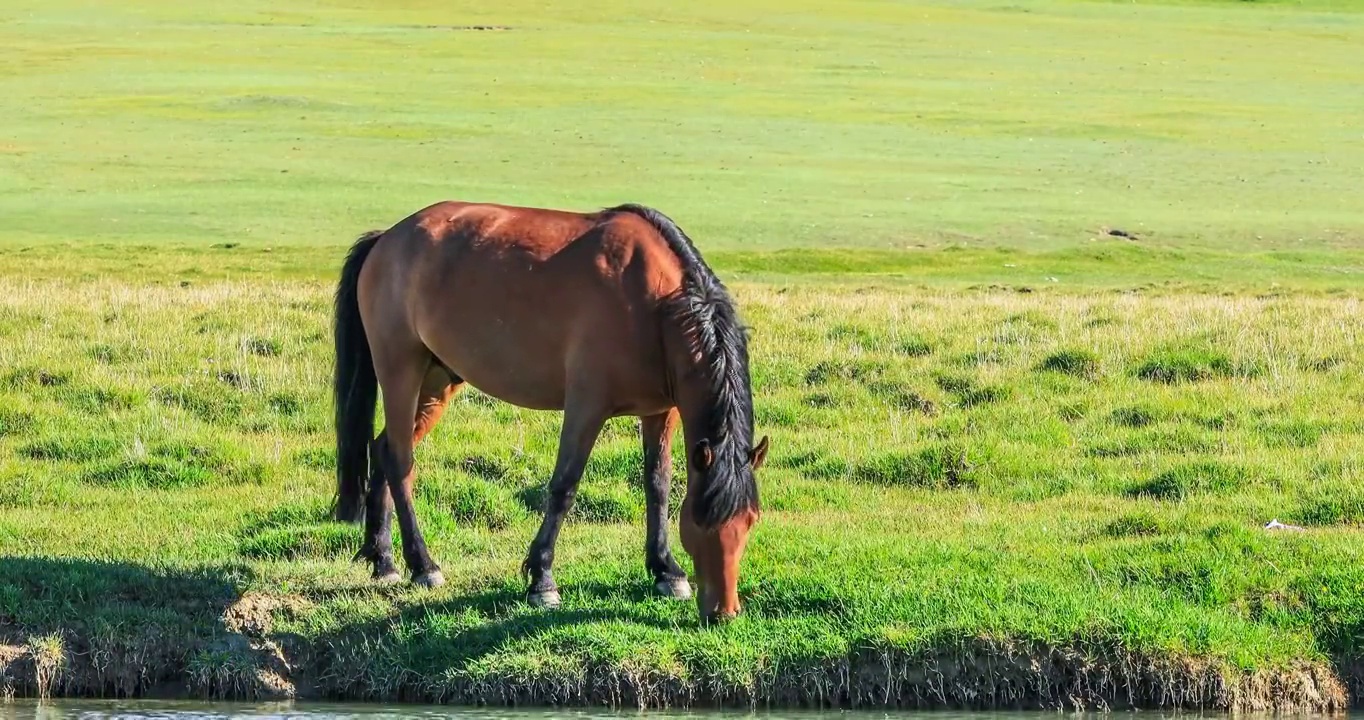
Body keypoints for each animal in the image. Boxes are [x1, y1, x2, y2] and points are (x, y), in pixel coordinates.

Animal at [332, 199, 769, 621]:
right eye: (701, 520)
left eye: (750, 521)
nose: (724, 612)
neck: (655, 306)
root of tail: (386, 239)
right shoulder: (586, 405)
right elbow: (564, 486)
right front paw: (542, 579)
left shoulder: (661, 412)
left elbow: (657, 484)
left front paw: (666, 571)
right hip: (400, 371)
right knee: (400, 461)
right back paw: (422, 565)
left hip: (437, 381)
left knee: (383, 449)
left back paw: (384, 560)